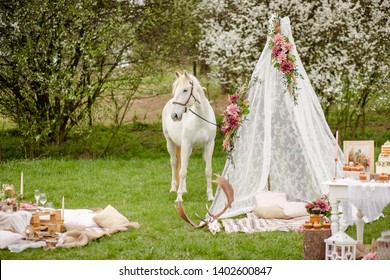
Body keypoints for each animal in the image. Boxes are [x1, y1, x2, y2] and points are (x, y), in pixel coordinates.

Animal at [161, 69, 216, 201]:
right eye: (175, 90)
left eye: (185, 90)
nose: (174, 115)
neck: (201, 119)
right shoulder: (186, 144)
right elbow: (182, 172)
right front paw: (179, 198)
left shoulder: (209, 144)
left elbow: (208, 171)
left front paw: (210, 197)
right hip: (170, 142)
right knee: (174, 163)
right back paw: (174, 188)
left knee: (183, 164)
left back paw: (184, 189)